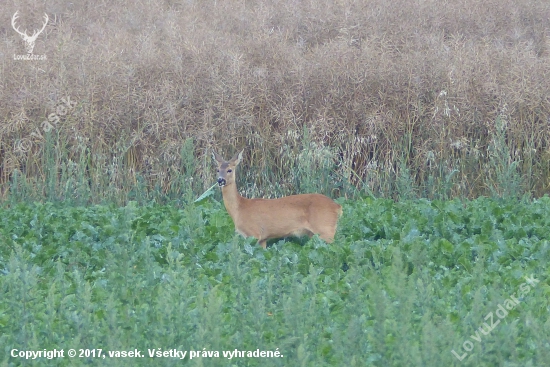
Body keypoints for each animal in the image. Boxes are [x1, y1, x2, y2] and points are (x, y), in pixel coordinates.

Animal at [213, 150, 342, 250]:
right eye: (217, 169)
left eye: (229, 170)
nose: (220, 180)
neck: (239, 209)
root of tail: (337, 207)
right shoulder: (262, 239)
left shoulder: (254, 234)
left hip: (325, 229)